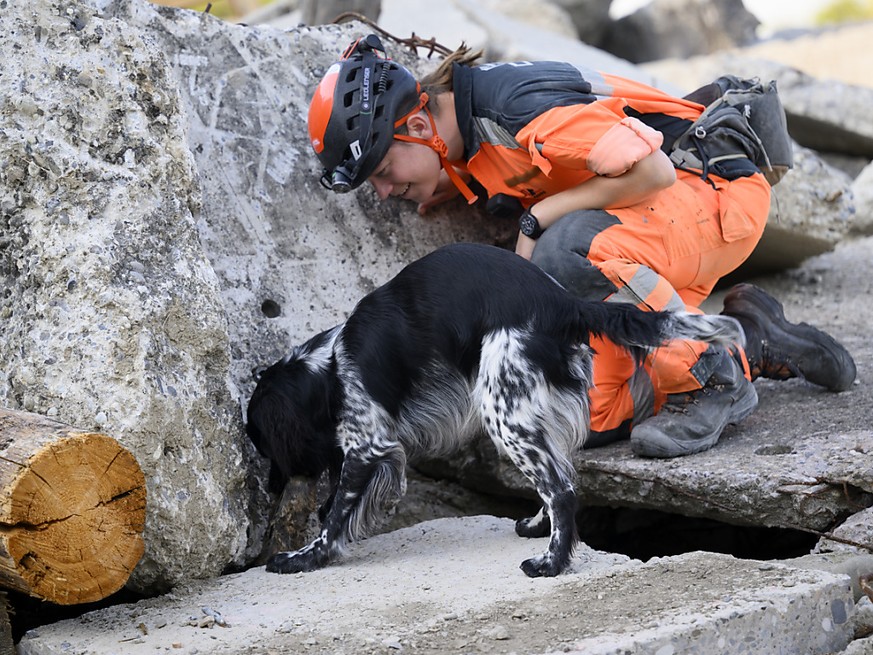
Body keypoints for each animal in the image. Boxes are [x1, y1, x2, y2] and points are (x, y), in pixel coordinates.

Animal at [247, 242, 744, 580]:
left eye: (263, 446)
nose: (270, 488)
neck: (330, 367)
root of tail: (565, 303)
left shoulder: (368, 447)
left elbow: (335, 515)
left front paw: (304, 558)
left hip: (502, 412)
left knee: (562, 489)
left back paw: (551, 564)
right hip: (531, 413)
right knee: (562, 477)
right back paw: (539, 529)